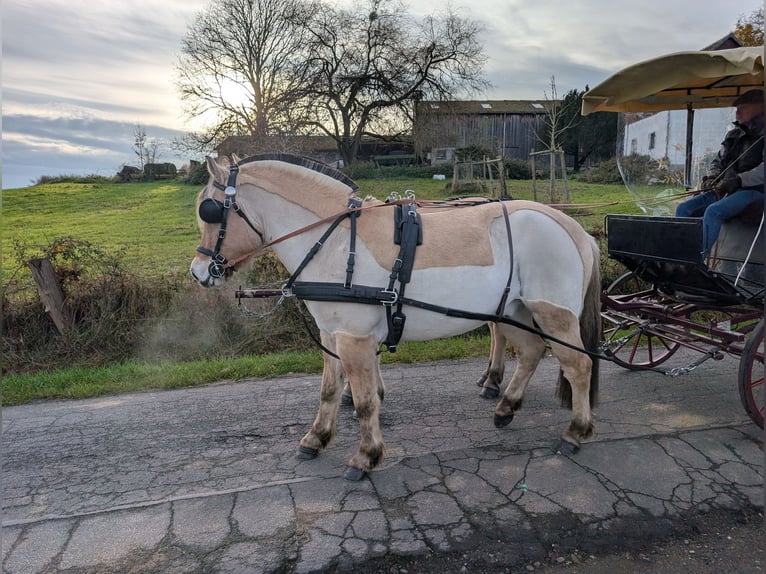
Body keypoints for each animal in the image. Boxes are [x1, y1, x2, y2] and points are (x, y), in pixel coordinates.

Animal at [190, 153, 600, 482]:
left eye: (210, 210)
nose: (199, 272)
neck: (336, 241)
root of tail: (575, 229)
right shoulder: (331, 334)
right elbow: (329, 389)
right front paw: (316, 438)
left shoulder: (354, 338)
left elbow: (365, 400)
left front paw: (365, 456)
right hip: (515, 311)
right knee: (531, 353)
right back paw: (506, 407)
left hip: (553, 315)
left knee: (578, 366)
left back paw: (576, 431)